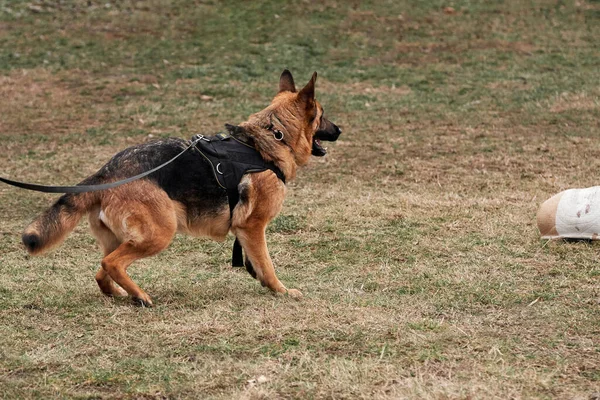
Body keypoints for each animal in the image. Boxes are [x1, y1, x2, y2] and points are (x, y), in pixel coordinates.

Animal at [21, 70, 340, 306]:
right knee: (111, 263)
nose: (340, 130)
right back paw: (141, 296)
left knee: (102, 271)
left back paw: (121, 294)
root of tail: (108, 172)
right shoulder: (253, 226)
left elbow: (257, 262)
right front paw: (282, 291)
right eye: (322, 114)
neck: (270, 140)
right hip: (160, 232)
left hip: (124, 238)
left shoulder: (247, 232)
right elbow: (268, 264)